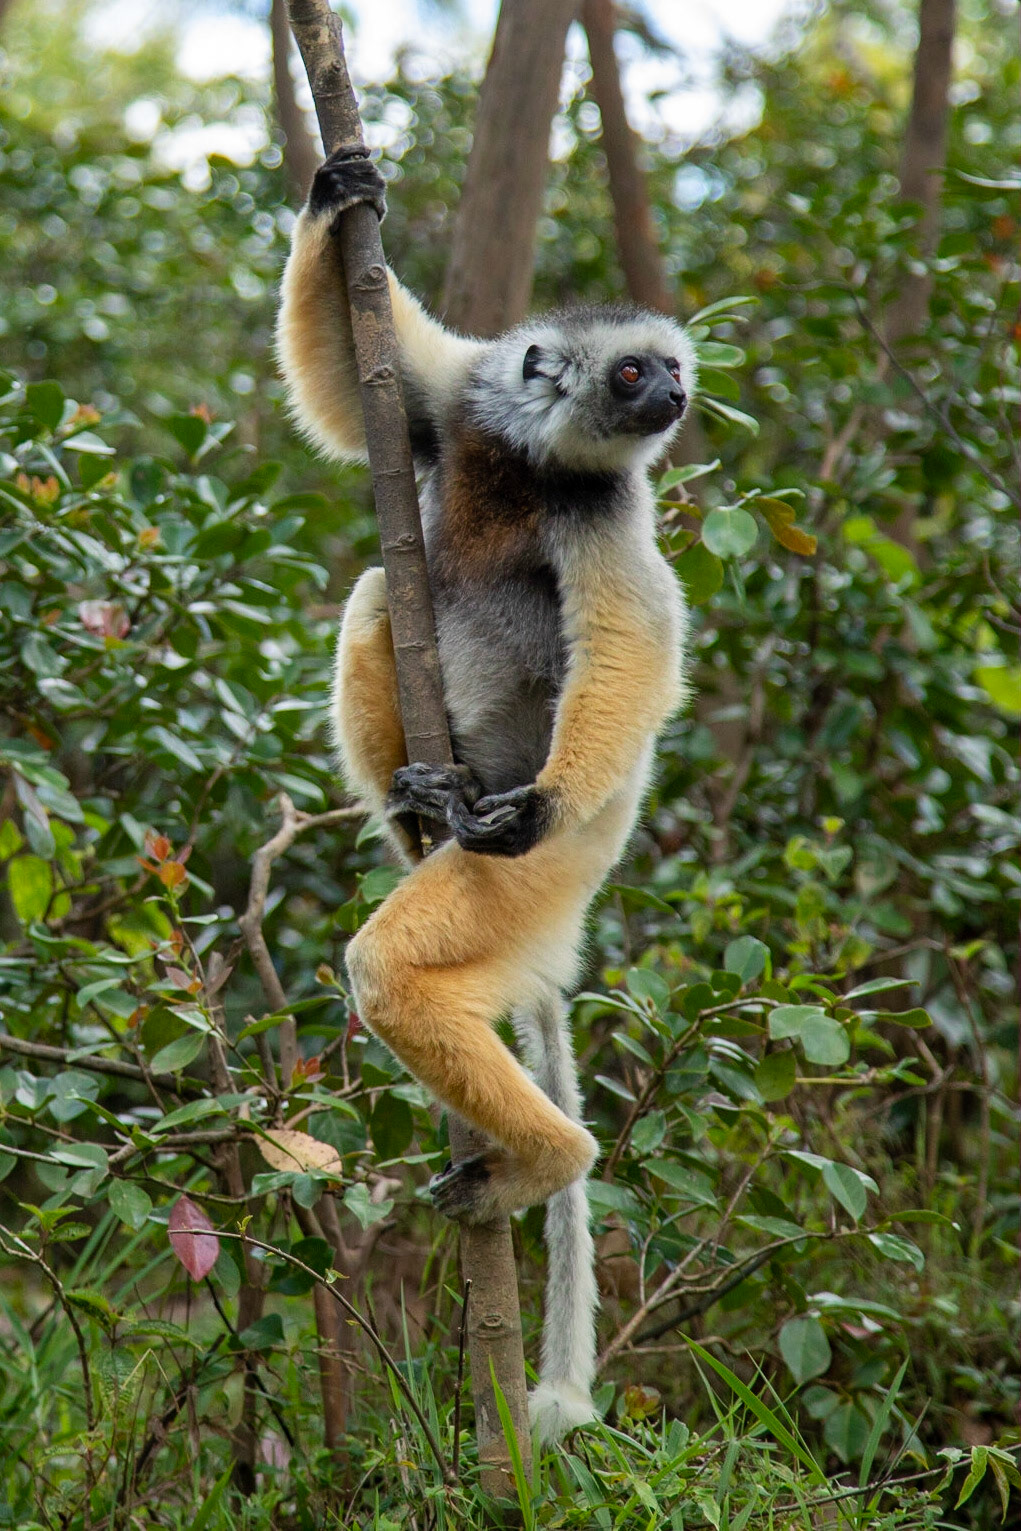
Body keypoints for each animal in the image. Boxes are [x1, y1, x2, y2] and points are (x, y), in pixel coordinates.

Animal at [276, 148, 694, 1444]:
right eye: (634, 370)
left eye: (669, 371)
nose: (676, 397)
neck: (533, 465)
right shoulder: (466, 401)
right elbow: (359, 387)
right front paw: (335, 195)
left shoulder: (608, 512)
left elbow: (627, 649)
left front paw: (543, 799)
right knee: (375, 590)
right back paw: (412, 800)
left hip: (529, 880)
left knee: (399, 969)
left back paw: (548, 1160)